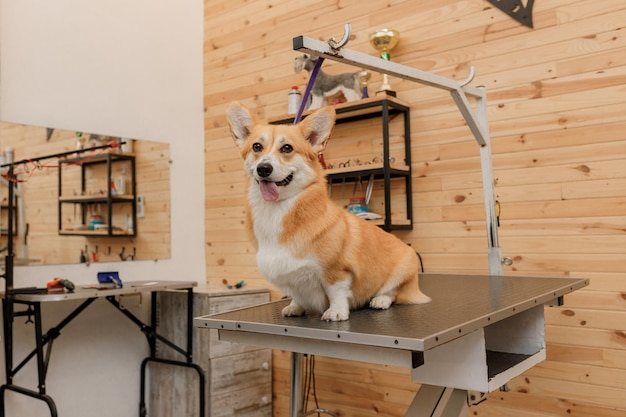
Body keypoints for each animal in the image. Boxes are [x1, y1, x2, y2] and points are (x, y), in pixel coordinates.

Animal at [228, 101, 428, 322]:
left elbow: (336, 291)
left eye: (287, 148)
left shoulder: (336, 270)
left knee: (393, 293)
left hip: (404, 267)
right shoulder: (292, 278)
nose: (263, 168)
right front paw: (295, 307)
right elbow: (297, 295)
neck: (277, 209)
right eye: (257, 146)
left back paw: (380, 300)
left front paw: (336, 312)